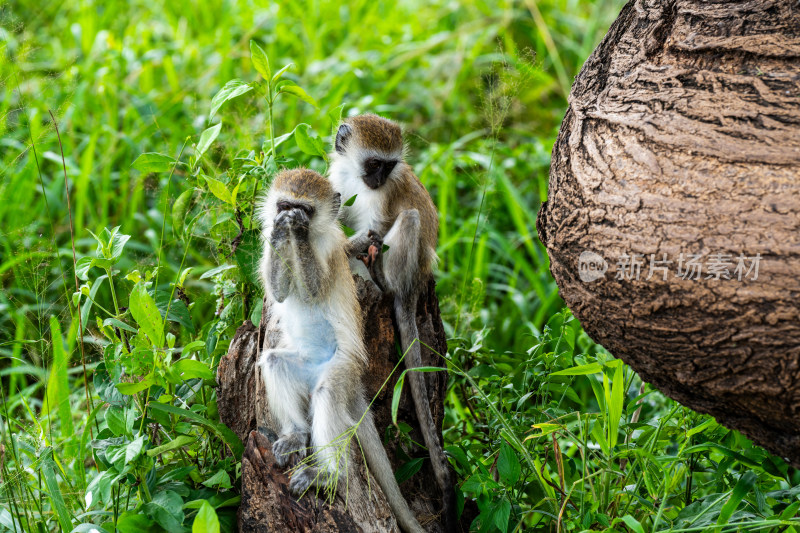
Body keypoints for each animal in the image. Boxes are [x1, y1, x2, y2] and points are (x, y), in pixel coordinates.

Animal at [260, 167, 428, 532]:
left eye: (305, 210)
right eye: (285, 204)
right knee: (275, 361)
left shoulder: (332, 249)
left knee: (327, 394)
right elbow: (280, 293)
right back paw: (296, 434)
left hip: (343, 369)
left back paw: (329, 475)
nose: (290, 217)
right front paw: (280, 229)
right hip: (303, 365)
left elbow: (314, 290)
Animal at [330, 116, 456, 532]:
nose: (377, 180)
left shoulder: (382, 200)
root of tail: (417, 284)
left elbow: (377, 228)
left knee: (409, 220)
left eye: (389, 166)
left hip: (409, 269)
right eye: (374, 164)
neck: (357, 178)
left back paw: (384, 284)